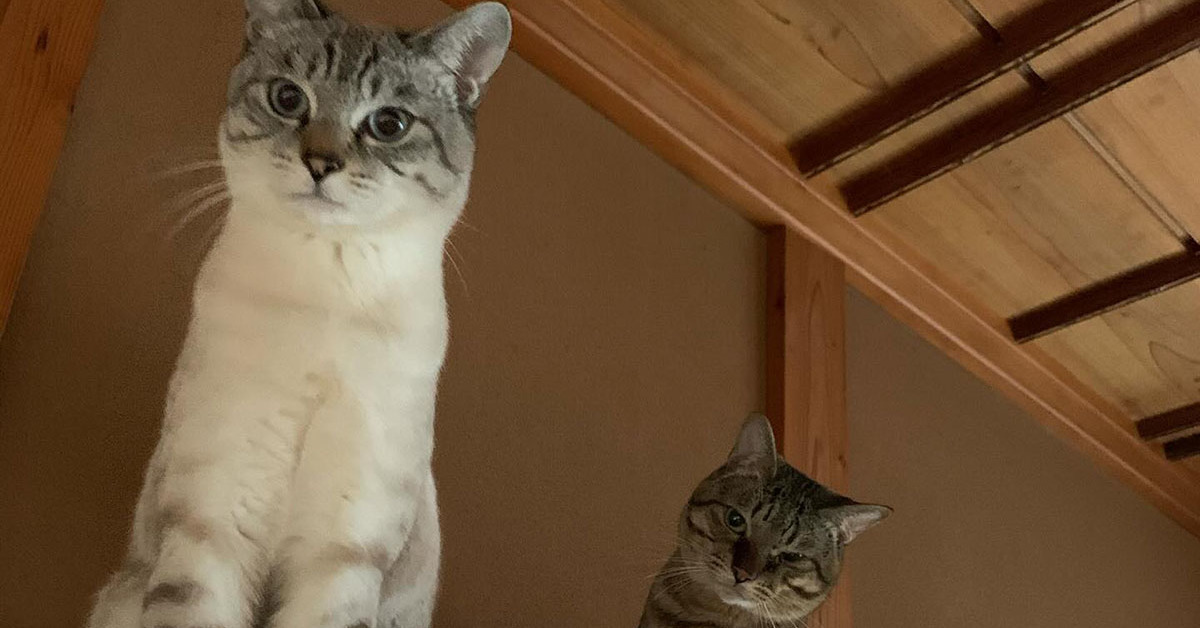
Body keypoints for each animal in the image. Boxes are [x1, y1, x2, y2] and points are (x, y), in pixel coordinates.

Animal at [86, 2, 510, 628]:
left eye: (388, 125)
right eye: (288, 98)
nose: (320, 162)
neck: (325, 290)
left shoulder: (344, 550)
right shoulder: (208, 520)